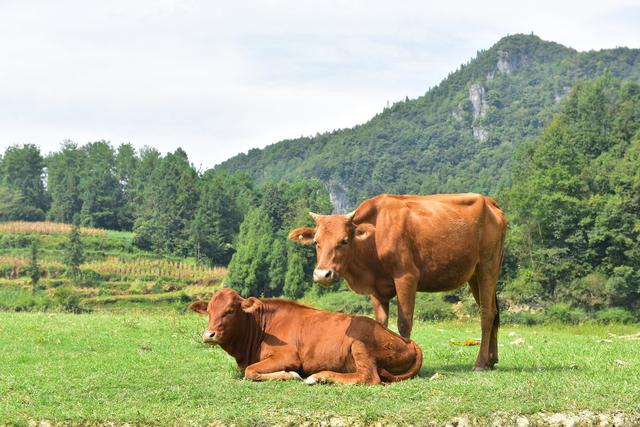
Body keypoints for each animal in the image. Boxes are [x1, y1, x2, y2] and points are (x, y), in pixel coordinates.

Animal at [188, 290, 422, 386]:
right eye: (209, 311)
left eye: (230, 310)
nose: (209, 335)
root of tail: (407, 341)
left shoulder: (288, 356)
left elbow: (250, 371)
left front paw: (290, 375)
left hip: (360, 343)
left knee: (368, 377)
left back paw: (319, 377)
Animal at [288, 194, 504, 372]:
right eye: (316, 242)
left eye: (344, 240)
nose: (322, 274)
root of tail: (489, 201)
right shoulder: (375, 288)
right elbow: (380, 324)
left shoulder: (406, 277)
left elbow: (404, 322)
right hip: (474, 275)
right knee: (494, 312)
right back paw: (491, 360)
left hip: (488, 265)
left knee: (486, 314)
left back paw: (480, 364)